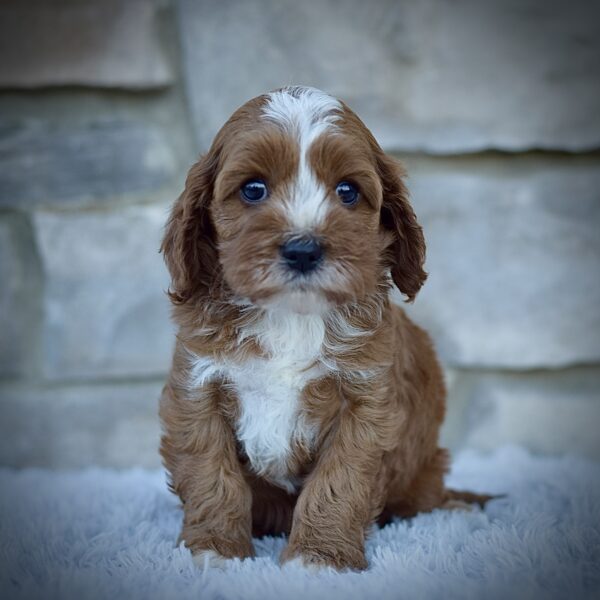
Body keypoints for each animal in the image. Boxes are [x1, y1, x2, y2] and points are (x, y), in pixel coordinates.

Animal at [158, 85, 488, 572]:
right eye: (253, 189)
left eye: (347, 192)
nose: (303, 249)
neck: (290, 316)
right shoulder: (198, 391)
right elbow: (210, 475)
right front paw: (214, 550)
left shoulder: (365, 404)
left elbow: (338, 483)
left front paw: (319, 558)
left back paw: (453, 506)